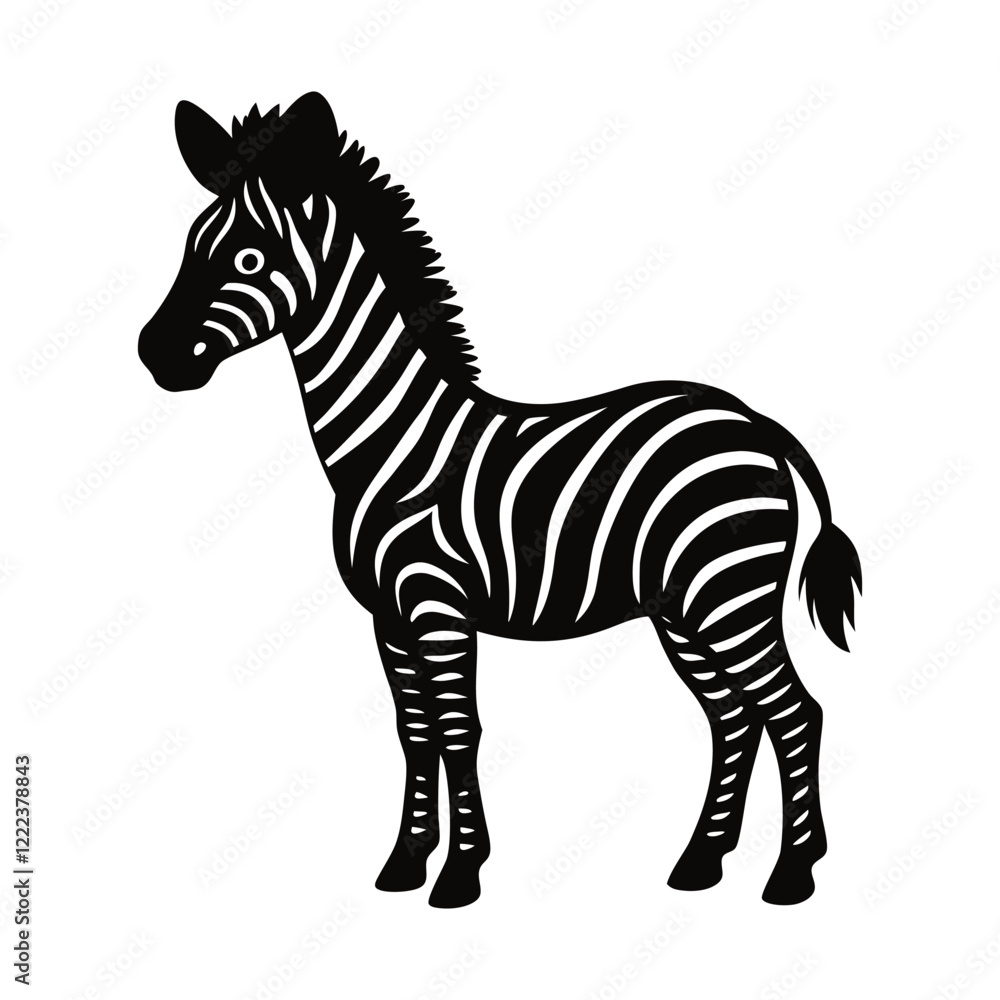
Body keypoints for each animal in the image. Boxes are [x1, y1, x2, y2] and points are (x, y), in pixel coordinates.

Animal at [139, 93, 861, 908]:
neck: (390, 441)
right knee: (732, 716)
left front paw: (459, 873)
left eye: (248, 259)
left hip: (728, 596)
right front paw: (405, 862)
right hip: (683, 609)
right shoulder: (387, 618)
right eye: (190, 243)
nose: (152, 354)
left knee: (794, 711)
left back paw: (793, 872)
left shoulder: (435, 604)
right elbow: (414, 732)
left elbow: (459, 728)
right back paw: (701, 862)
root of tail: (755, 421)